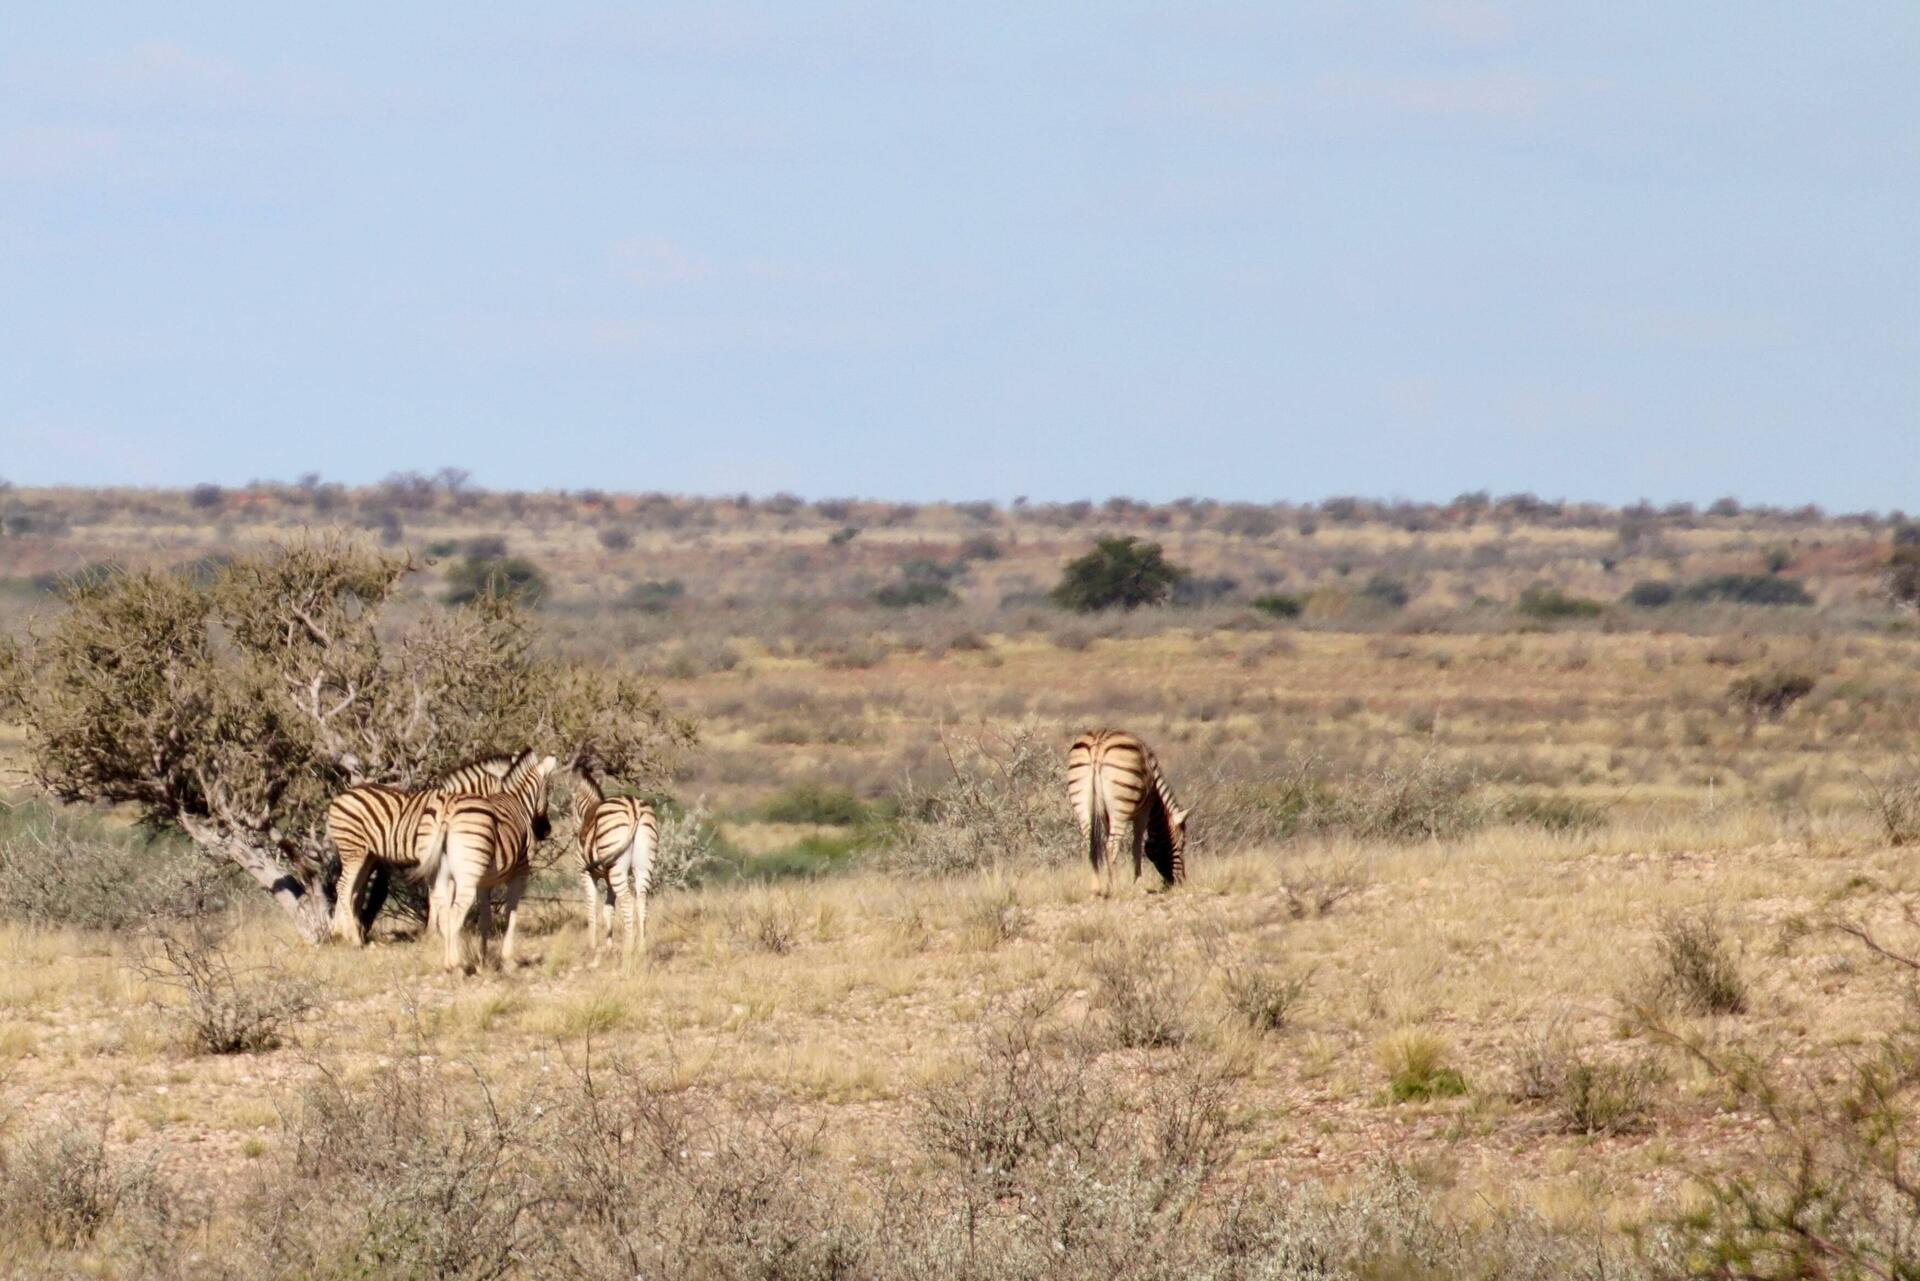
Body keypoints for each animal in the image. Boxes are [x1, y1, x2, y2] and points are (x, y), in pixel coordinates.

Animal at [325, 749, 536, 946]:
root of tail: (339, 798)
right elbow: (436, 893)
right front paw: (435, 933)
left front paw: (438, 930)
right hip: (353, 848)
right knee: (343, 885)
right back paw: (353, 938)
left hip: (366, 853)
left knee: (352, 889)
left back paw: (341, 933)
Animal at [417, 754, 559, 974]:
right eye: (548, 789)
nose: (546, 830)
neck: (517, 800)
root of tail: (447, 811)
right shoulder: (520, 873)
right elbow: (511, 915)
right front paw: (508, 960)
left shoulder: (484, 882)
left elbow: (485, 920)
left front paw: (482, 961)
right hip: (466, 877)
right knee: (455, 914)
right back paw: (456, 965)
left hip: (439, 876)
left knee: (443, 914)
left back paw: (449, 963)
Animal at [569, 760, 659, 968]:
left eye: (570, 805)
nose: (577, 831)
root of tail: (634, 807)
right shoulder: (608, 877)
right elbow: (608, 909)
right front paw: (608, 947)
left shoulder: (586, 873)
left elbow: (592, 905)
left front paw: (592, 947)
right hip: (643, 865)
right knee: (642, 901)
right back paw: (641, 951)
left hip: (617, 868)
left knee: (627, 901)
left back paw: (628, 952)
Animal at [1066, 730, 1190, 896]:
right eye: (1182, 843)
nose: (1181, 881)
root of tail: (1098, 744)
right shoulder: (1144, 812)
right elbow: (1136, 847)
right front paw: (1137, 883)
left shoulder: (1106, 815)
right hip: (1121, 807)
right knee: (1111, 846)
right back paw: (1113, 888)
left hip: (1082, 804)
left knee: (1090, 846)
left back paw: (1096, 888)